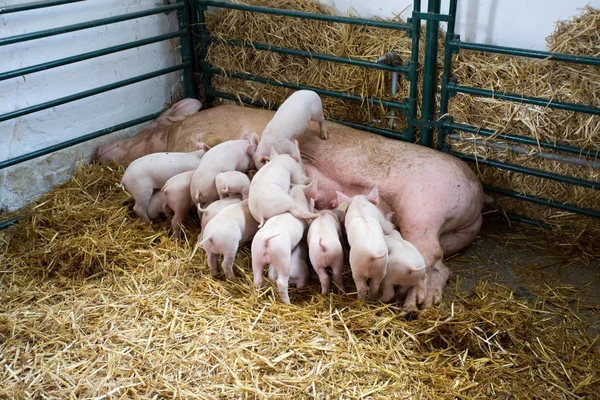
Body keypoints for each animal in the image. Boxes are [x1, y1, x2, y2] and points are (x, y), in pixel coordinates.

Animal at [98, 99, 482, 310]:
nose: (100, 148)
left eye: (148, 127)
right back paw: (426, 303)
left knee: (429, 253)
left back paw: (411, 306)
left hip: (425, 205)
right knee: (440, 265)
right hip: (438, 227)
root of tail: (478, 200)